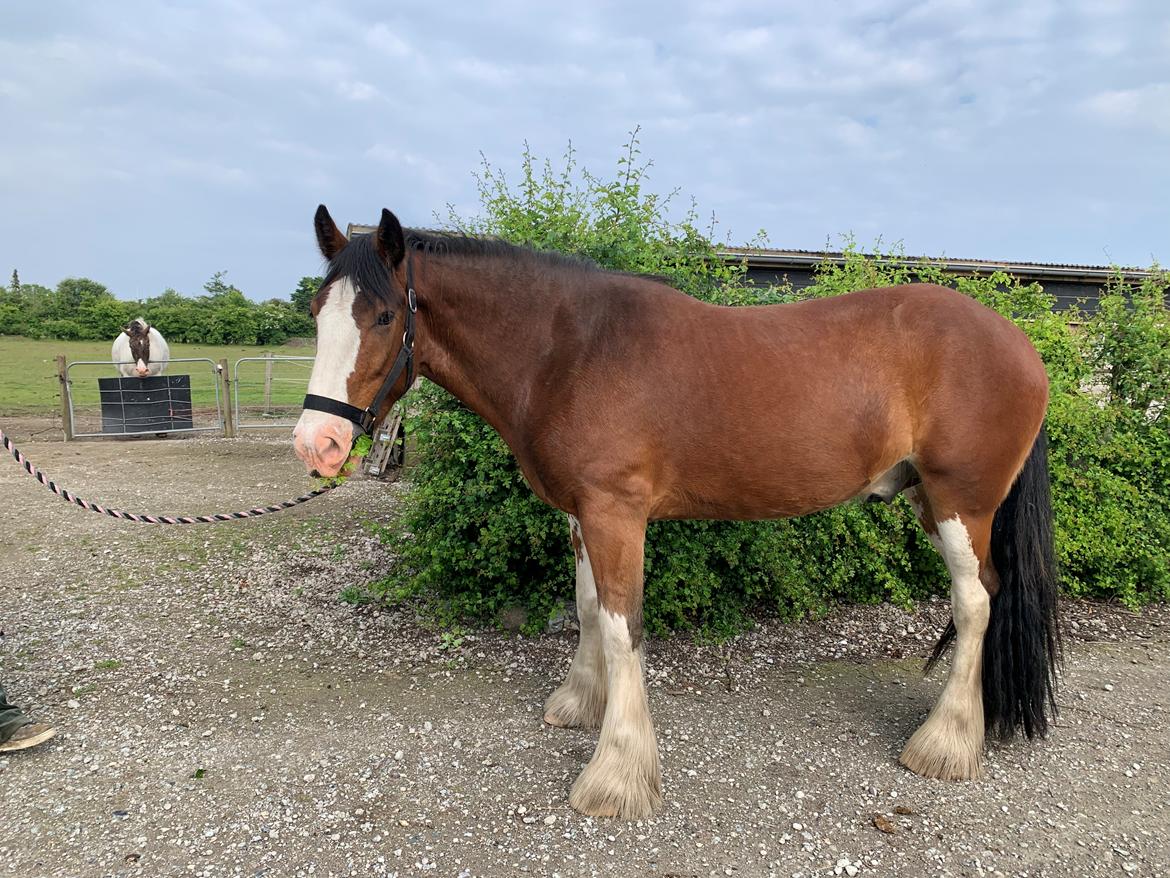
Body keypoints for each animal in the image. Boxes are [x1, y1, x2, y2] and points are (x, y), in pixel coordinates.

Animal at [290, 208, 1062, 824]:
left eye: (384, 316)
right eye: (316, 313)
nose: (316, 443)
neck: (569, 352)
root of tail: (1019, 344)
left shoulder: (617, 513)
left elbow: (622, 625)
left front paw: (617, 776)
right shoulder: (584, 515)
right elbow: (589, 608)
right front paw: (582, 703)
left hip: (962, 502)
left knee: (975, 602)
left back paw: (944, 745)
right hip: (930, 499)